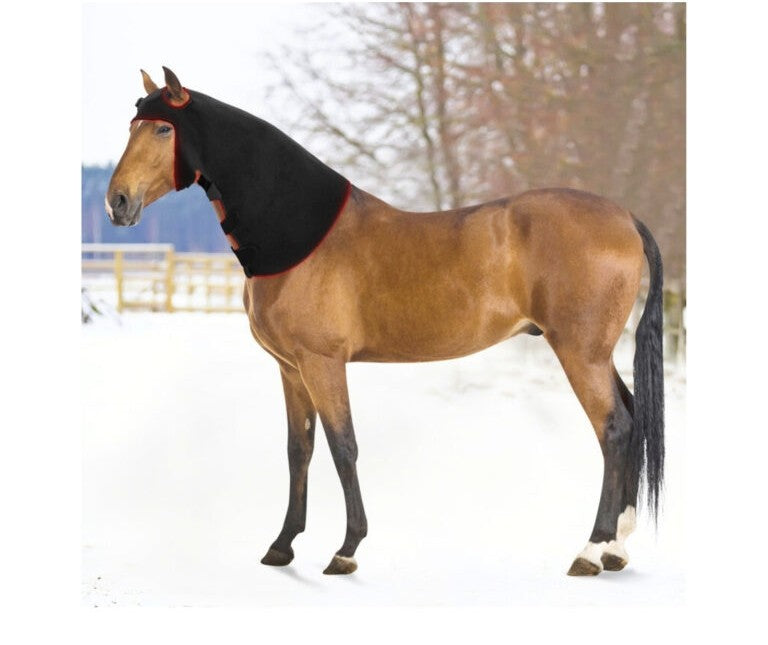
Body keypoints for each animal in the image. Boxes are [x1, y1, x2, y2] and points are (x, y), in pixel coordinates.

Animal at [105, 67, 664, 577]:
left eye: (162, 130)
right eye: (132, 125)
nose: (118, 202)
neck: (300, 234)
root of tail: (626, 218)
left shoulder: (323, 363)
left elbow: (343, 446)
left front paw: (346, 550)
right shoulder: (290, 368)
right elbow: (299, 450)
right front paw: (282, 546)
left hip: (579, 351)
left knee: (614, 429)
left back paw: (591, 550)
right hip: (595, 353)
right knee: (631, 418)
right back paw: (617, 548)